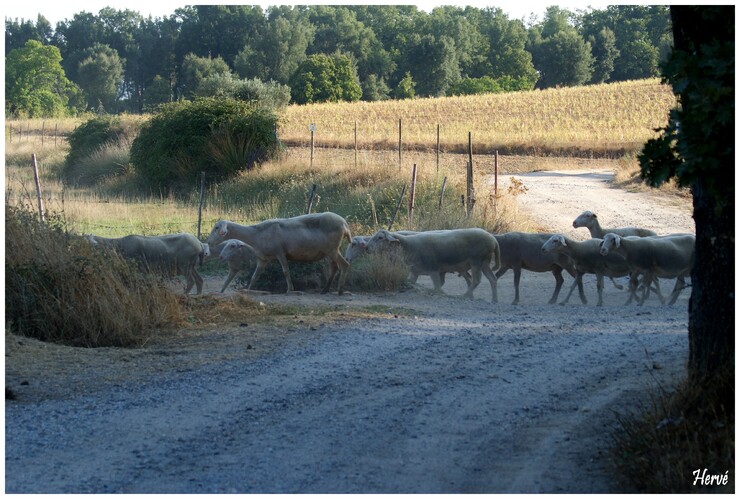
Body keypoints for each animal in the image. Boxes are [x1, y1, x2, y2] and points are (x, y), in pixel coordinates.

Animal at [204, 212, 352, 296]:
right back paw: (325, 290)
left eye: (216, 228)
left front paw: (290, 290)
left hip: (332, 249)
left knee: (344, 265)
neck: (256, 234)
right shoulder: (263, 259)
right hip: (327, 252)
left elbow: (286, 271)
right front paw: (249, 289)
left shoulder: (280, 252)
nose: (209, 242)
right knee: (334, 268)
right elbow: (255, 276)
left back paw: (339, 290)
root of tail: (345, 224)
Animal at [366, 229, 500, 302]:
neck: (407, 246)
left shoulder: (434, 270)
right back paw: (494, 300)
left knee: (476, 280)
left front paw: (438, 293)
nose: (366, 248)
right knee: (492, 279)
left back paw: (464, 296)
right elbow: (412, 282)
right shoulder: (415, 271)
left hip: (477, 261)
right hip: (485, 262)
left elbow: (437, 286)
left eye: (380, 237)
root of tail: (493, 240)